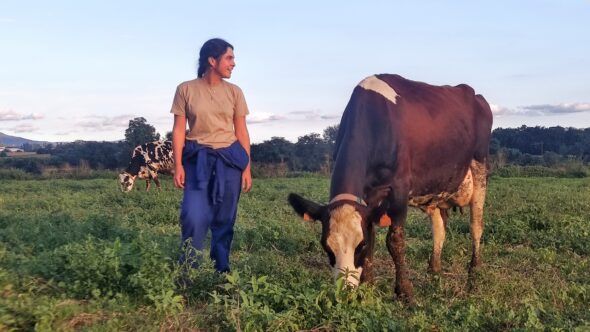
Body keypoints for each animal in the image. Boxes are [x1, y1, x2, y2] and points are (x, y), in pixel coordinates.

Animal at [288, 74, 494, 302]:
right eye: (326, 247)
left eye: (359, 245)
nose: (345, 293)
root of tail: (474, 94)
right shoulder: (367, 198)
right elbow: (372, 235)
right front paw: (367, 287)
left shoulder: (400, 189)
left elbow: (395, 241)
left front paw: (405, 292)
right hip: (438, 186)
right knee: (439, 229)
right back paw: (434, 273)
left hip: (479, 166)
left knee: (476, 225)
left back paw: (473, 274)